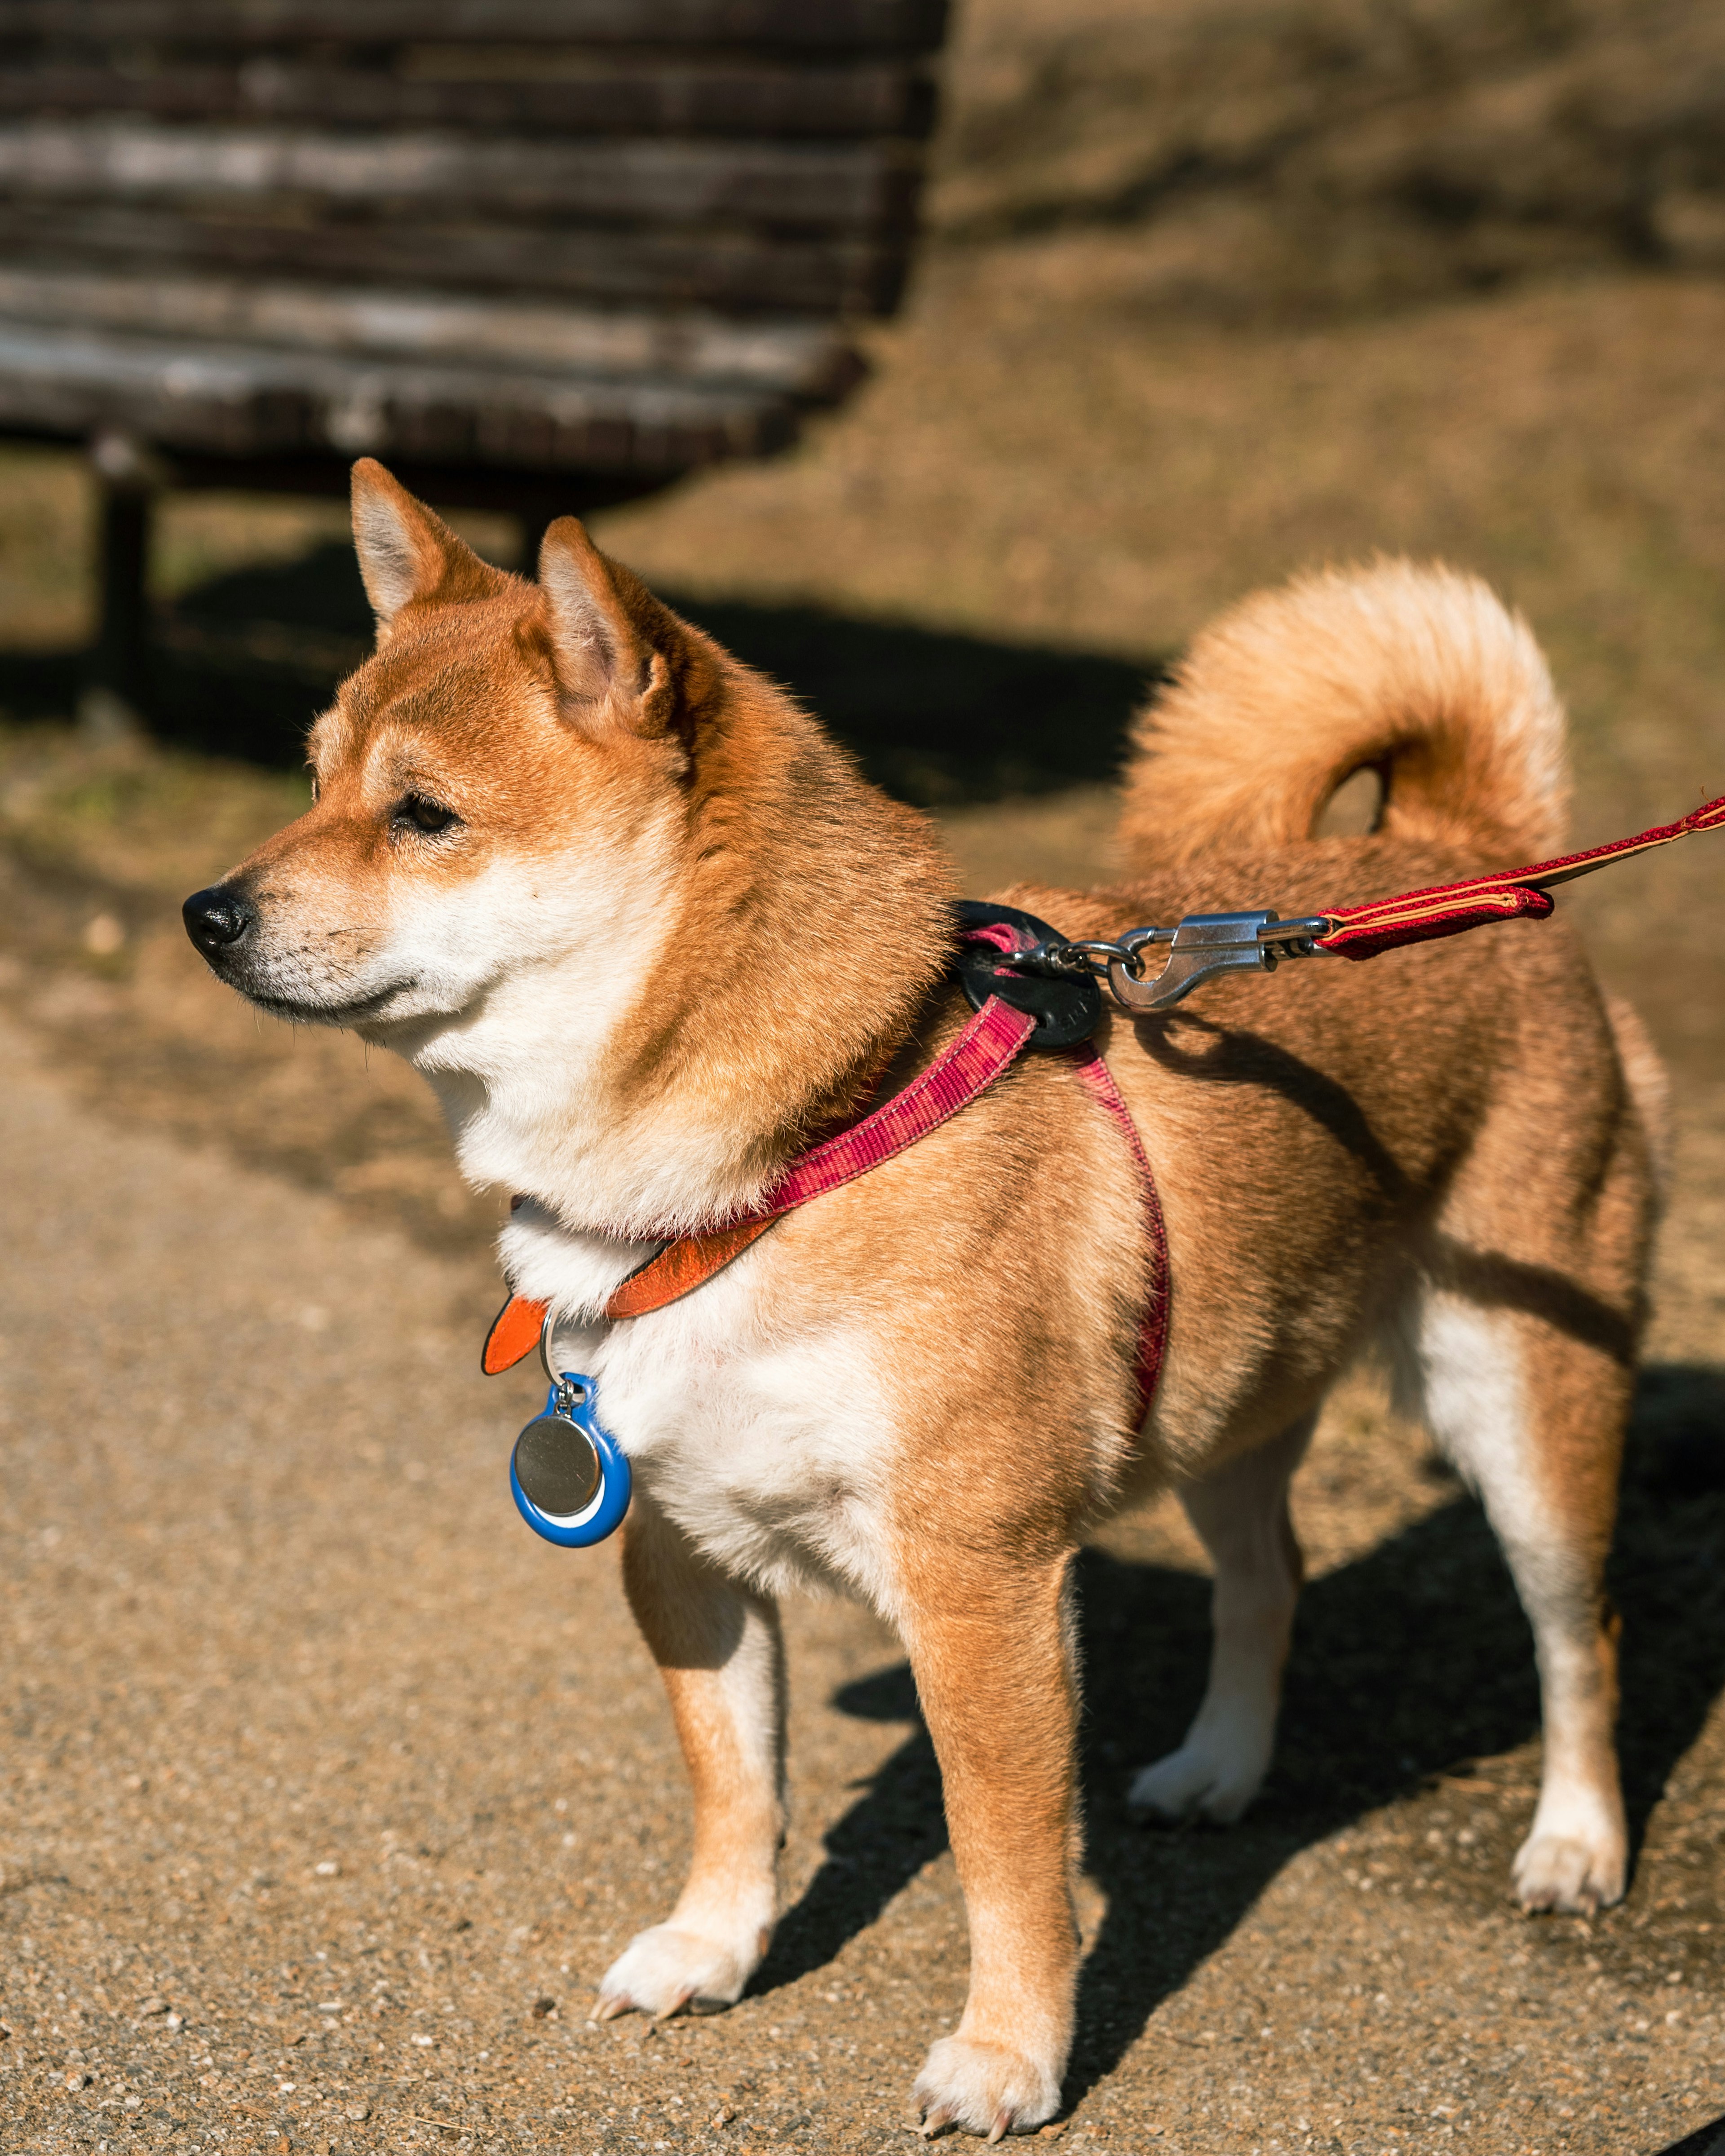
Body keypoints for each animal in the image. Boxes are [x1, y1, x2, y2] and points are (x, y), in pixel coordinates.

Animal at [185, 464, 1656, 2130]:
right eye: (312, 778)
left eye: (422, 814)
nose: (206, 913)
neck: (795, 1152)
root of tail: (1462, 844)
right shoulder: (680, 1540)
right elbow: (733, 1786)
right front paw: (713, 1946)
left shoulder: (977, 1577)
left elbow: (1004, 1856)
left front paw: (1011, 2053)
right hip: (1222, 1407)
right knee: (1268, 1576)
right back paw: (1219, 1767)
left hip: (1523, 1403)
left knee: (1577, 1635)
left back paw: (1575, 1843)